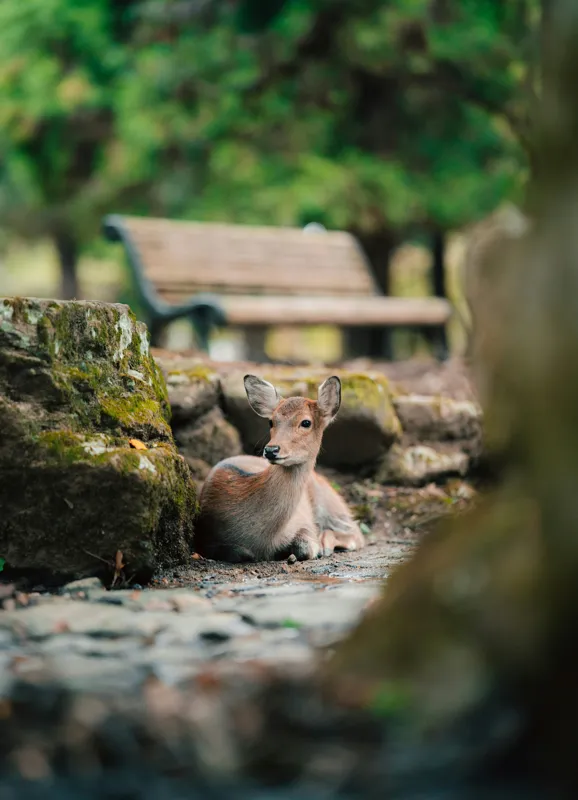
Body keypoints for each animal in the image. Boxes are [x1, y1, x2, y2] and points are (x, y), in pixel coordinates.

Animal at [194, 375, 365, 563]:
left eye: (306, 422)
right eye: (271, 421)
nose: (271, 450)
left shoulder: (304, 521)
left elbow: (307, 548)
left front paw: (312, 548)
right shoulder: (204, 536)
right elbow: (239, 553)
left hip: (330, 501)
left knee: (355, 533)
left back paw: (325, 543)